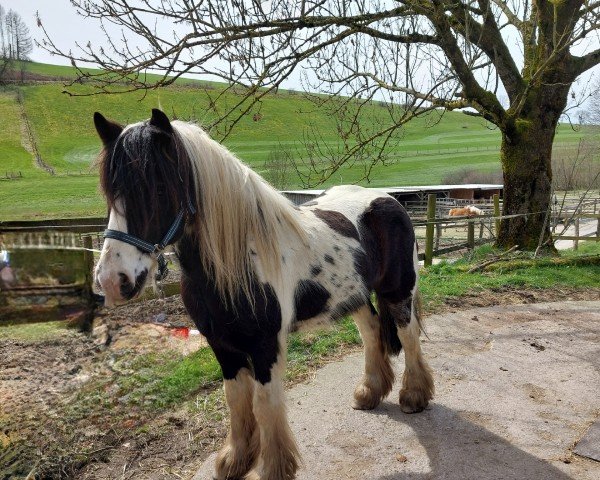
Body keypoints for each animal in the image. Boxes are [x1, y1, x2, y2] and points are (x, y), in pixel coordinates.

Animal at [92, 109, 432, 480]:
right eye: (109, 193)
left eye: (157, 187)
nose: (112, 280)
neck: (237, 263)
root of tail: (388, 199)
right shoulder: (221, 345)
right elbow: (235, 398)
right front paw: (236, 460)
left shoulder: (265, 345)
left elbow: (265, 404)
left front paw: (273, 467)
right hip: (351, 294)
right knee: (371, 331)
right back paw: (369, 392)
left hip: (399, 290)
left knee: (408, 335)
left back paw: (414, 396)